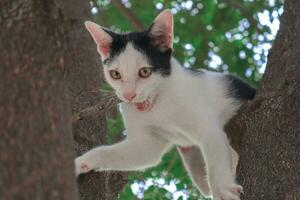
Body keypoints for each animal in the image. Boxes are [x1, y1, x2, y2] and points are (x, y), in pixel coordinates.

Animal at [75, 9, 255, 200]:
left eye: (145, 72)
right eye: (115, 74)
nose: (129, 95)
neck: (159, 104)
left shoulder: (210, 131)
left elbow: (216, 163)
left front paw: (222, 190)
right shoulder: (146, 144)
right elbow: (110, 151)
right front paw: (79, 163)